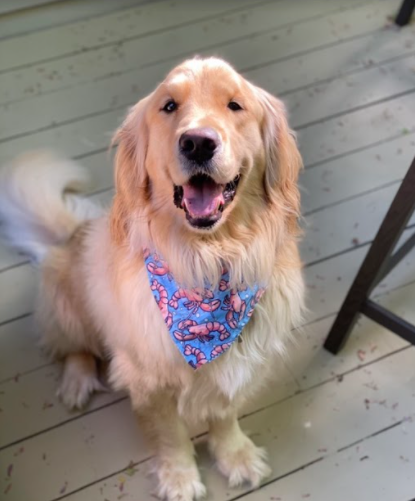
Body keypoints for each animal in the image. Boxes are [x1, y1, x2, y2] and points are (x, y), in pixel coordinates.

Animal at [0, 57, 306, 500]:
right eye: (169, 106)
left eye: (235, 105)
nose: (197, 143)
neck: (208, 265)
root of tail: (73, 232)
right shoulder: (148, 379)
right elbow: (170, 435)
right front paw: (179, 477)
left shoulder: (241, 363)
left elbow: (225, 413)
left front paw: (235, 455)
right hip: (67, 300)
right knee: (72, 346)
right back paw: (78, 380)